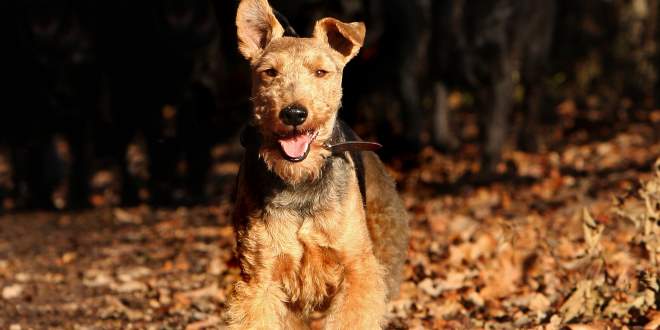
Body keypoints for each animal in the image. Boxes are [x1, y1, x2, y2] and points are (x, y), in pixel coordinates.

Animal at [228, 1, 408, 328]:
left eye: (321, 72)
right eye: (270, 72)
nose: (294, 113)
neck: (300, 181)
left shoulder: (357, 270)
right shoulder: (260, 278)